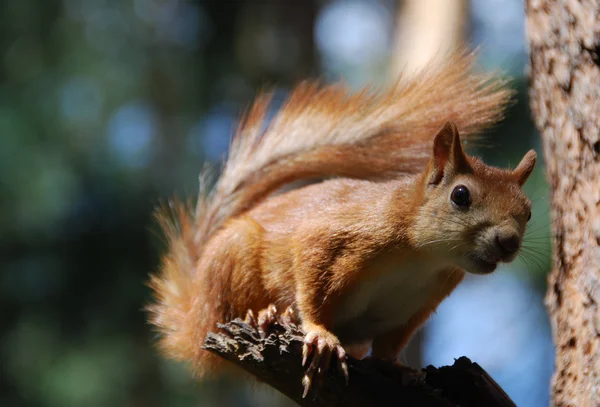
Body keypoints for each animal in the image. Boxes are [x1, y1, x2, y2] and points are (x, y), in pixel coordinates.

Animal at [148, 50, 536, 398]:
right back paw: (265, 315)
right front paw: (320, 335)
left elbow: (388, 348)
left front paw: (401, 370)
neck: (423, 258)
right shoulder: (339, 234)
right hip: (233, 260)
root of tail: (192, 321)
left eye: (528, 211)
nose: (509, 242)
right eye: (460, 195)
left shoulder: (415, 306)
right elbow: (312, 283)